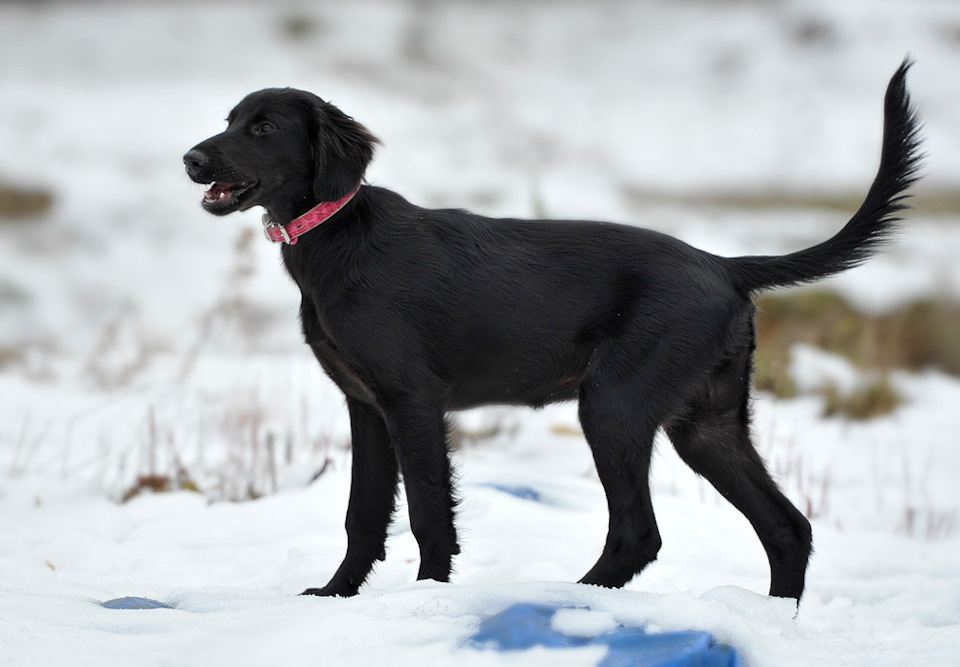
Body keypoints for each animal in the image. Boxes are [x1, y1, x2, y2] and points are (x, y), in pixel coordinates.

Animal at [186, 60, 924, 600]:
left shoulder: (412, 402)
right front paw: (336, 595)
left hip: (614, 405)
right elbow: (362, 514)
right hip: (705, 423)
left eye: (263, 128)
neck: (337, 239)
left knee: (640, 533)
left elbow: (428, 511)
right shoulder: (365, 407)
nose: (192, 159)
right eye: (230, 121)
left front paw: (429, 598)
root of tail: (722, 264)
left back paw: (580, 596)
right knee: (786, 527)